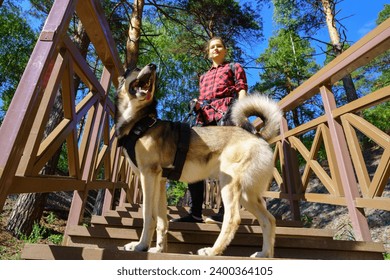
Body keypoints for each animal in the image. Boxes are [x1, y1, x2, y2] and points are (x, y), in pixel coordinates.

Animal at [114, 63, 282, 258]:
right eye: (135, 68)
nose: (153, 66)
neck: (141, 123)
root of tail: (258, 136)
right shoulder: (160, 182)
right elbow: (162, 220)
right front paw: (159, 249)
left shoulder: (148, 175)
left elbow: (148, 215)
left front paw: (141, 246)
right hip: (247, 195)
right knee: (269, 220)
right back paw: (264, 254)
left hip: (229, 185)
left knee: (233, 219)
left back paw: (213, 251)